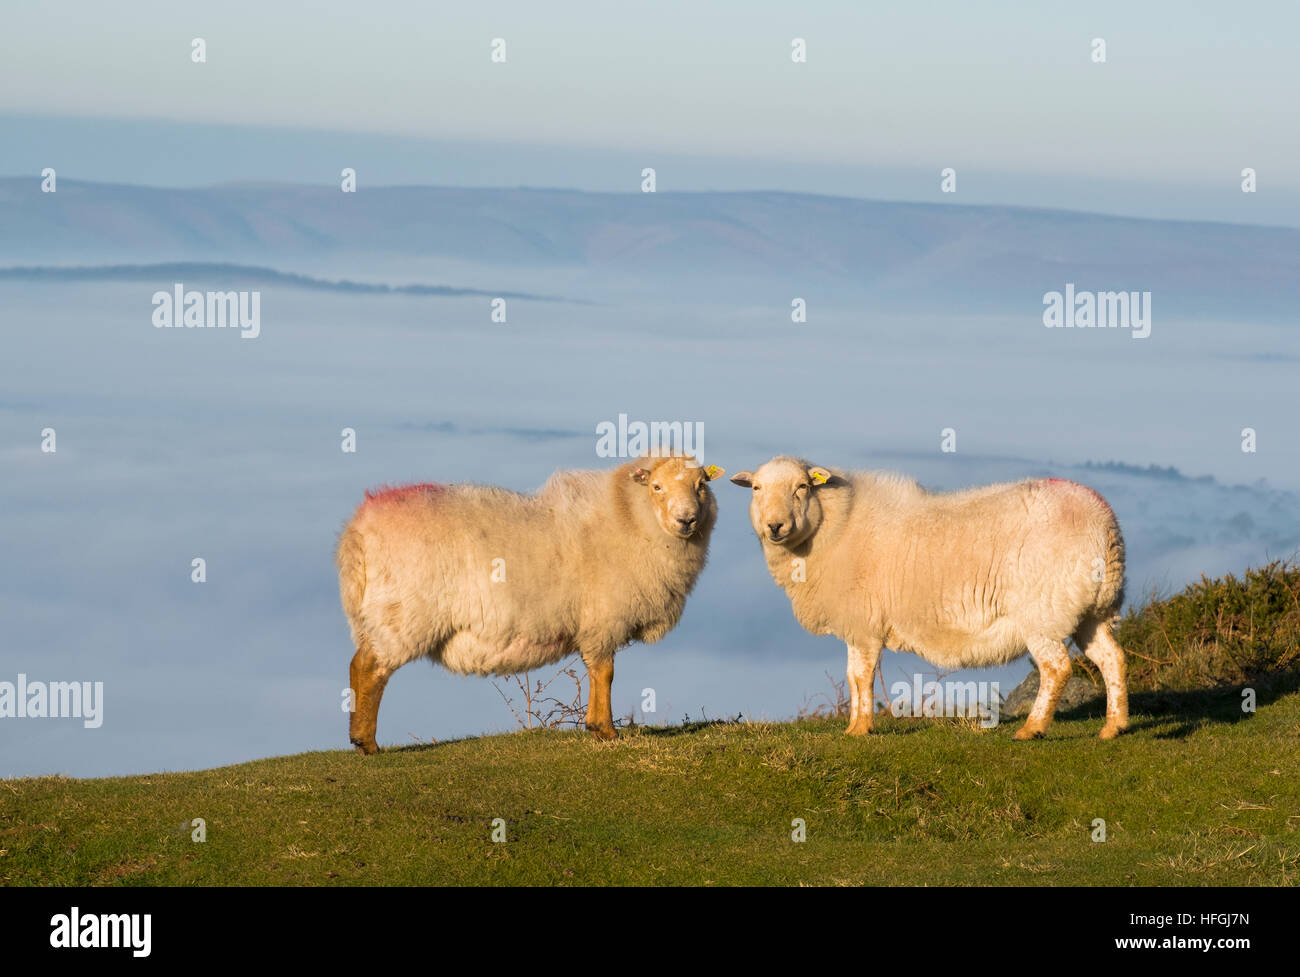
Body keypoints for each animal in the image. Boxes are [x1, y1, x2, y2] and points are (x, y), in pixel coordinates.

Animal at [337, 455, 725, 753]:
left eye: (700, 485)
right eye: (656, 487)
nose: (686, 520)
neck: (628, 517)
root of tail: (358, 530)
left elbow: (598, 671)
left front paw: (596, 727)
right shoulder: (602, 620)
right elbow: (605, 672)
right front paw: (605, 730)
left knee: (358, 665)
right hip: (401, 614)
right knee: (370, 668)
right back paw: (367, 743)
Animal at [730, 457, 1129, 740]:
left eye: (801, 486)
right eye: (756, 488)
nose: (775, 526)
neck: (834, 527)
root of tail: (1103, 521)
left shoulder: (863, 623)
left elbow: (860, 676)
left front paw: (860, 729)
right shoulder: (858, 627)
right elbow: (853, 676)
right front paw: (855, 727)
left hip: (1042, 611)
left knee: (1056, 668)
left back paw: (1032, 729)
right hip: (1091, 610)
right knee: (1112, 658)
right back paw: (1114, 727)